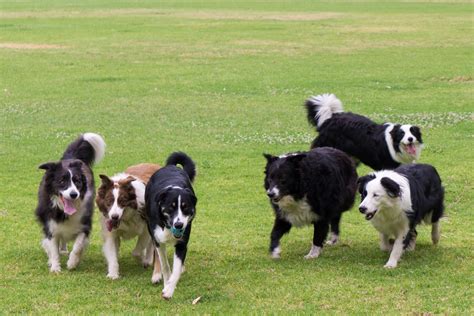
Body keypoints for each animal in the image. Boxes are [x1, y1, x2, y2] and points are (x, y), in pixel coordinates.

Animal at [35, 132, 105, 272]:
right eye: (62, 181)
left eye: (77, 181)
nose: (74, 194)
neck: (63, 211)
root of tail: (71, 158)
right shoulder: (50, 225)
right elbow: (53, 248)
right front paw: (55, 267)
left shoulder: (84, 224)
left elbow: (78, 246)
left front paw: (72, 262)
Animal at [144, 152, 196, 300]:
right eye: (171, 207)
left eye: (185, 207)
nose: (178, 225)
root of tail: (171, 167)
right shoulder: (157, 239)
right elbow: (165, 265)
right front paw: (166, 283)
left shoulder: (182, 243)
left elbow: (176, 270)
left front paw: (169, 290)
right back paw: (156, 275)